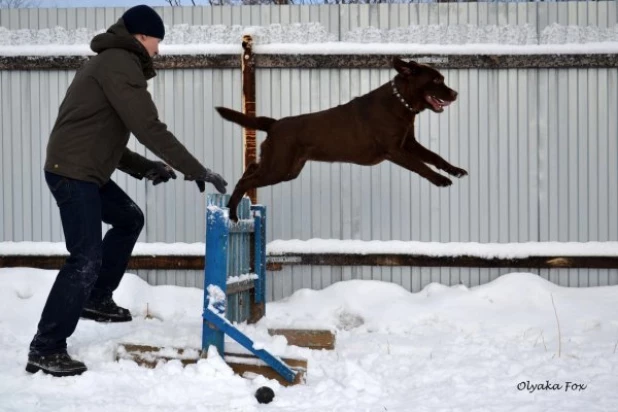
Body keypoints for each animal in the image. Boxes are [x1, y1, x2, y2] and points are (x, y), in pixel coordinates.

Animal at [217, 58, 466, 222]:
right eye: (436, 80)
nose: (455, 94)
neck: (401, 102)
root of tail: (274, 124)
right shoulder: (395, 150)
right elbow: (421, 165)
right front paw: (440, 180)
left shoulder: (409, 144)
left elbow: (435, 157)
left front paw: (455, 170)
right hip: (278, 167)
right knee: (245, 181)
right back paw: (232, 213)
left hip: (286, 168)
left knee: (251, 168)